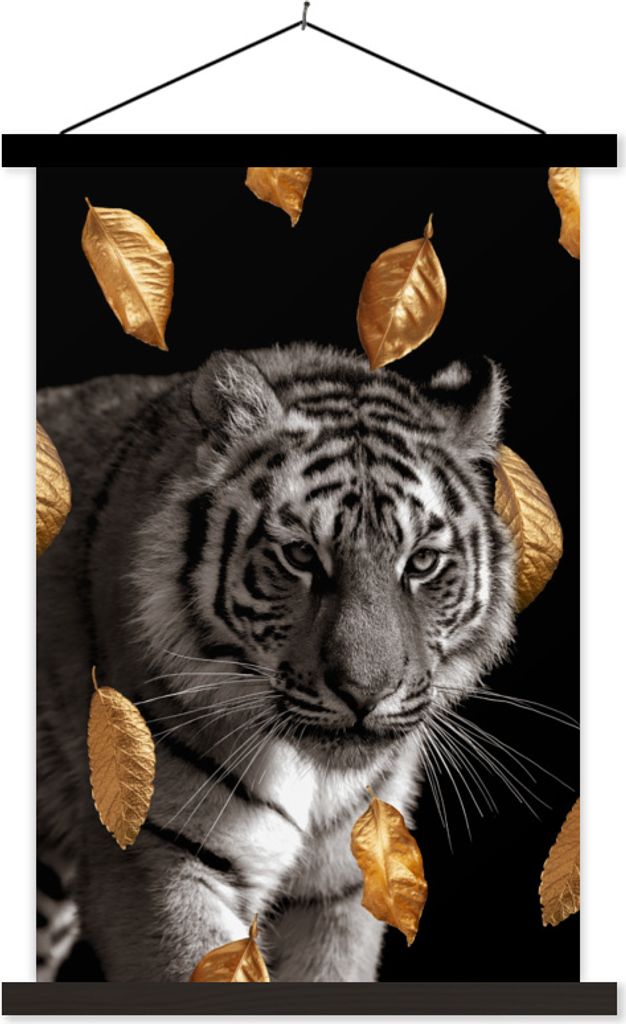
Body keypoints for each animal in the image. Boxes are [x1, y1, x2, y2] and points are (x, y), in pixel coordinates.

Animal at [36, 341, 516, 982]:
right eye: (300, 556)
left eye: (420, 562)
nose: (365, 694)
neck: (314, 779)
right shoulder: (156, 857)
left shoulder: (345, 883)